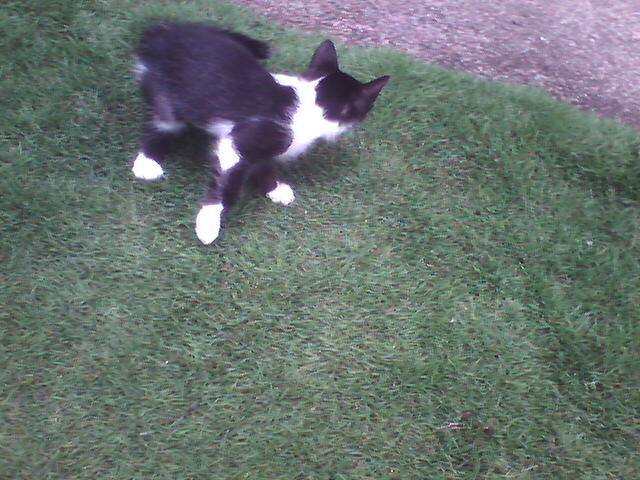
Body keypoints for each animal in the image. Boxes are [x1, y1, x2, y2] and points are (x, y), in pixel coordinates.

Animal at [132, 23, 389, 244]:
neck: (310, 103)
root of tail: (163, 31)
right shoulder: (247, 139)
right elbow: (229, 180)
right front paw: (209, 223)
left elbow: (261, 164)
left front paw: (274, 189)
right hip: (166, 90)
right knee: (163, 121)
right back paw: (147, 163)